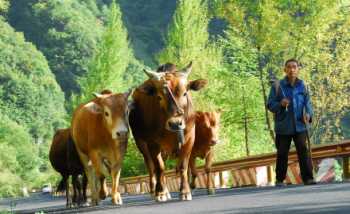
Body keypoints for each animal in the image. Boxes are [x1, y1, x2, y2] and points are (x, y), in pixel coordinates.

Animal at [129, 61, 206, 201]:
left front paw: (185, 191)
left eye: (185, 93)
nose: (175, 123)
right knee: (151, 166)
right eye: (159, 97)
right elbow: (159, 167)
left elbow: (182, 166)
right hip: (141, 143)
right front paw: (160, 193)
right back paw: (155, 190)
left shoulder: (189, 139)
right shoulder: (152, 143)